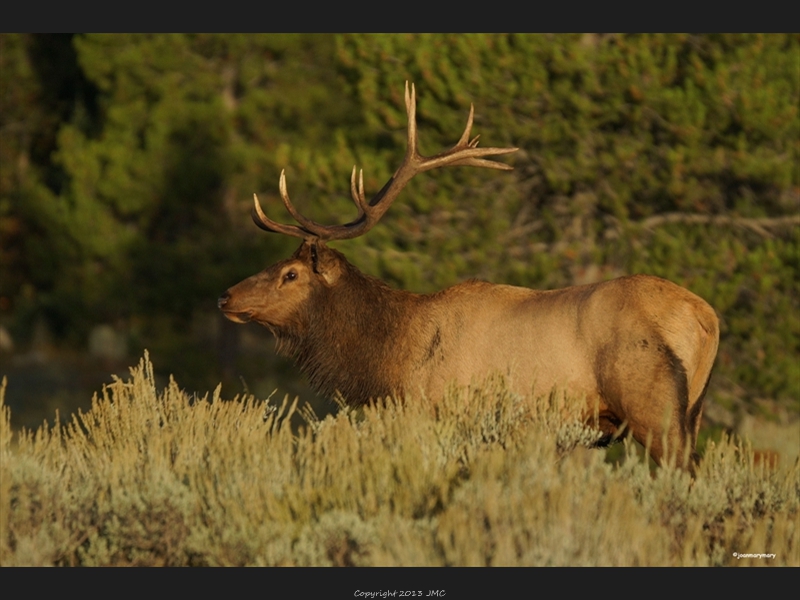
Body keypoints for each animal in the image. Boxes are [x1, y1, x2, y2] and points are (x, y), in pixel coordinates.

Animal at [219, 82, 720, 466]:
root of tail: (707, 318)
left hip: (652, 404)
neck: (394, 357)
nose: (226, 296)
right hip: (691, 412)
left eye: (290, 274)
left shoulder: (445, 417)